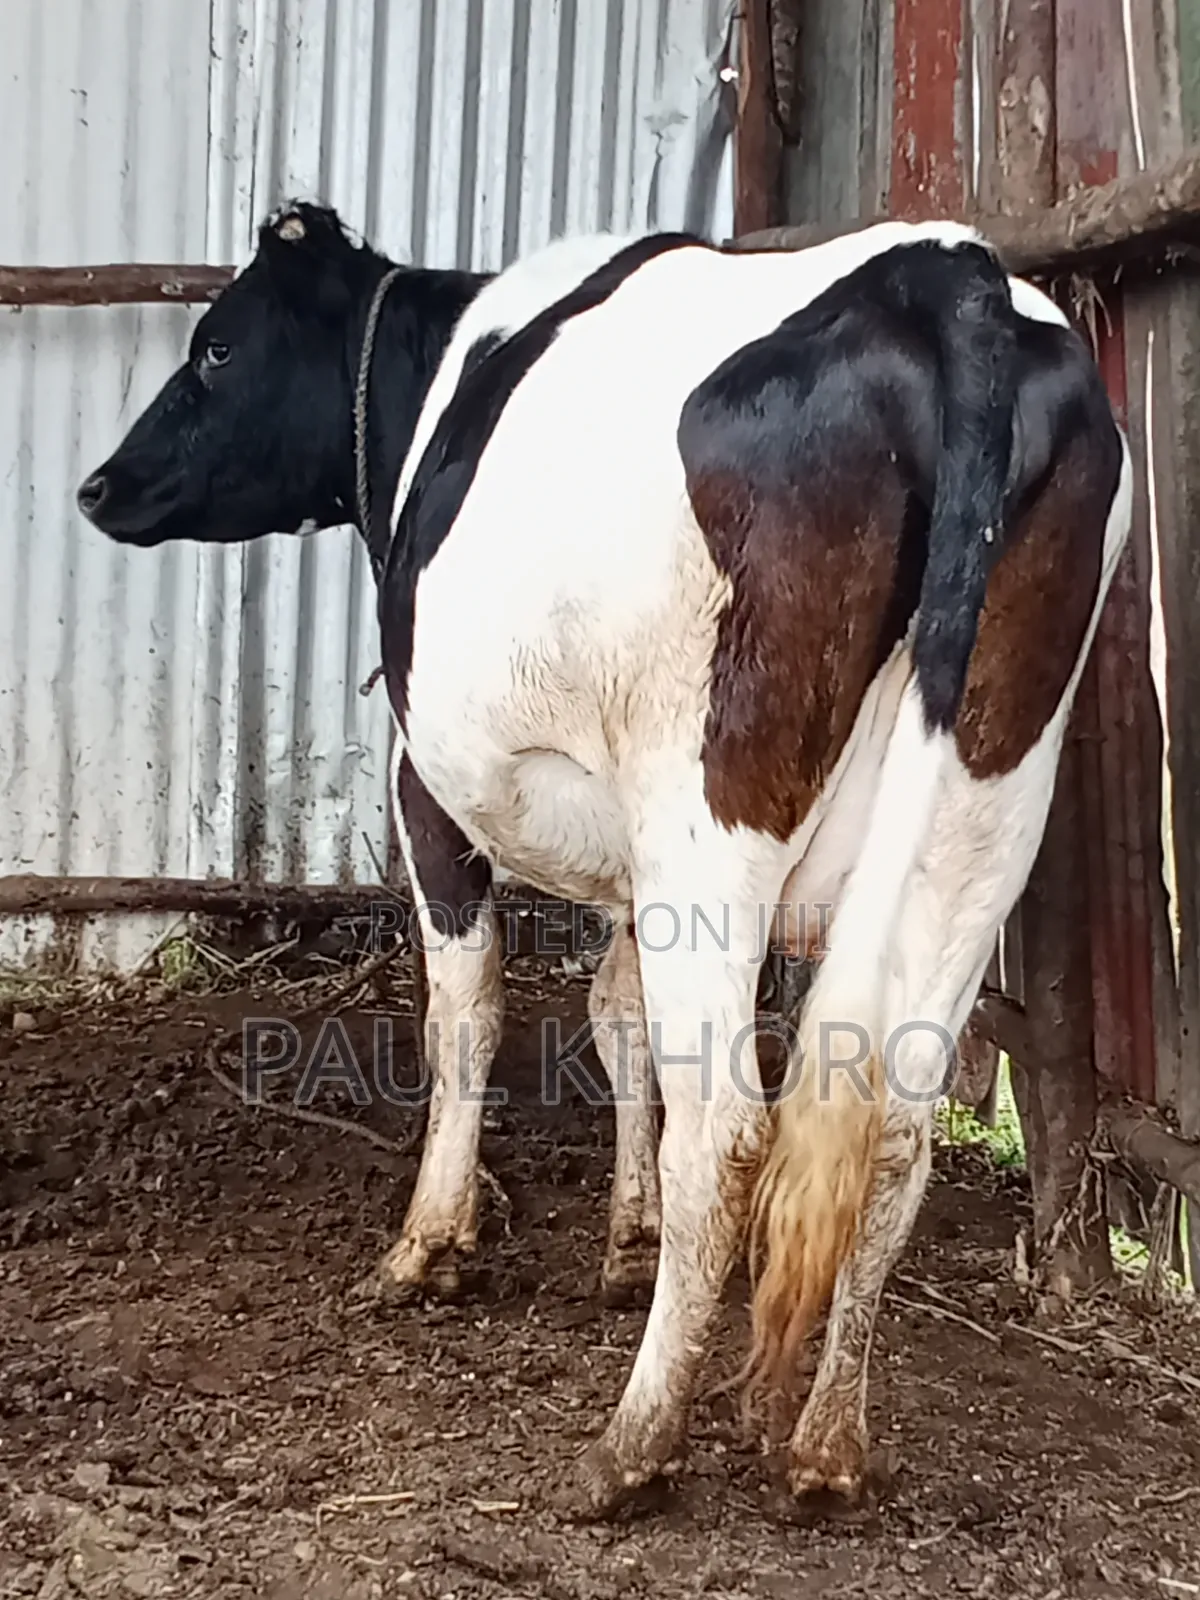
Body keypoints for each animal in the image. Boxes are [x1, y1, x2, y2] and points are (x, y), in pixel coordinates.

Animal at [78, 202, 1132, 1519]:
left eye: (216, 345)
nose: (98, 484)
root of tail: (953, 276)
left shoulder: (426, 783)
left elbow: (469, 1011)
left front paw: (429, 1244)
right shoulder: (637, 865)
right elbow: (617, 1011)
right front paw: (628, 1238)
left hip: (712, 812)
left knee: (729, 1128)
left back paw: (633, 1441)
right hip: (984, 817)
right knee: (891, 1127)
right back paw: (828, 1445)